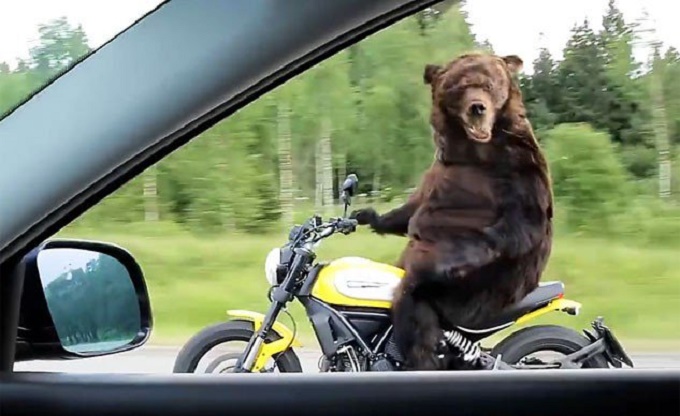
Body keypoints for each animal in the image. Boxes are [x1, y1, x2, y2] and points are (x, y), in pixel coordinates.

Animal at [350, 52, 553, 371]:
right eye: (459, 86)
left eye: (489, 84)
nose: (477, 107)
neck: (474, 150)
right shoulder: (438, 171)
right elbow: (414, 207)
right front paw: (370, 216)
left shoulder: (519, 166)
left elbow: (521, 223)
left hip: (473, 293)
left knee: (415, 304)